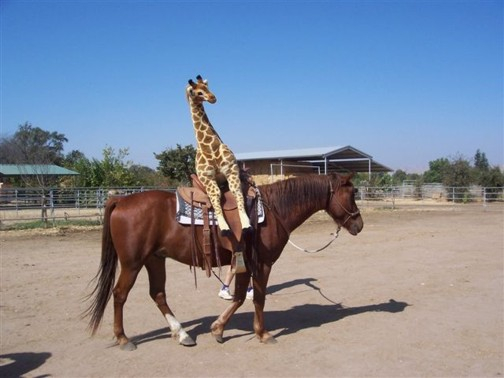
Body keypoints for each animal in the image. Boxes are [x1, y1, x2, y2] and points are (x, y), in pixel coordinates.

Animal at [85, 173, 362, 350]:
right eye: (351, 194)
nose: (359, 224)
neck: (274, 211)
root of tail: (121, 199)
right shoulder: (262, 264)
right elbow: (257, 299)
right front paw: (262, 334)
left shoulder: (244, 263)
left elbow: (239, 297)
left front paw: (218, 329)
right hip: (132, 263)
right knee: (120, 294)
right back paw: (124, 339)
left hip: (154, 259)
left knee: (158, 294)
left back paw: (182, 334)